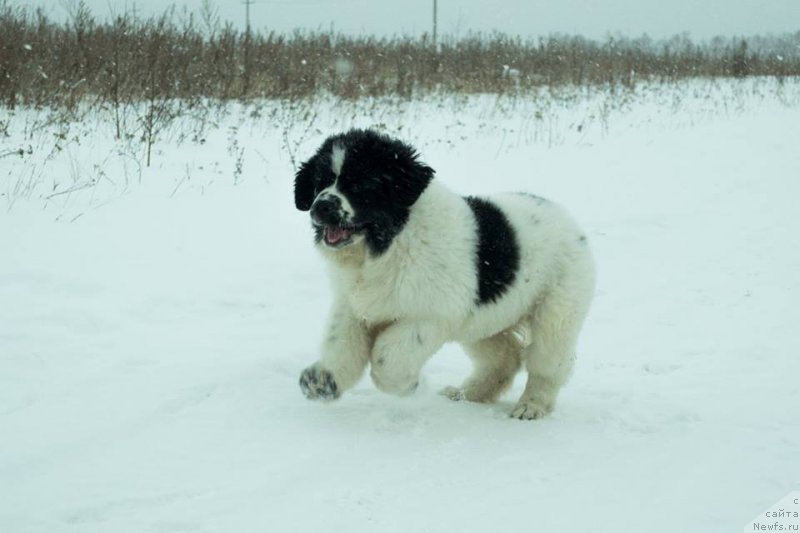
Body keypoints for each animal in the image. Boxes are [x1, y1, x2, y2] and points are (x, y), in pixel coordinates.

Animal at [294, 129, 592, 420]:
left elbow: (388, 357)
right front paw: (322, 381)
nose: (321, 206)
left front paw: (410, 385)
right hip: (488, 320)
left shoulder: (430, 314)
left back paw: (531, 406)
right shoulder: (355, 305)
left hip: (556, 311)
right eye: (320, 182)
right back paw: (467, 394)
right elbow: (341, 343)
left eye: (360, 184)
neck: (388, 244)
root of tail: (568, 219)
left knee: (549, 364)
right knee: (505, 357)